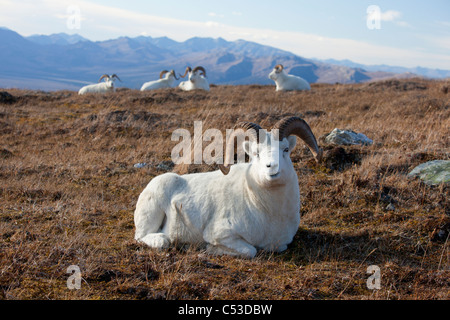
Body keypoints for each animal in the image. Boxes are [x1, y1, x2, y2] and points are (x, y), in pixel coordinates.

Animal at [132, 116, 322, 258]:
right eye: (256, 153)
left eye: (285, 149)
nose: (272, 167)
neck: (269, 213)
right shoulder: (222, 234)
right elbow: (250, 250)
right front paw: (210, 249)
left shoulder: (279, 244)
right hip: (151, 215)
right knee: (145, 237)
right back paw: (165, 240)